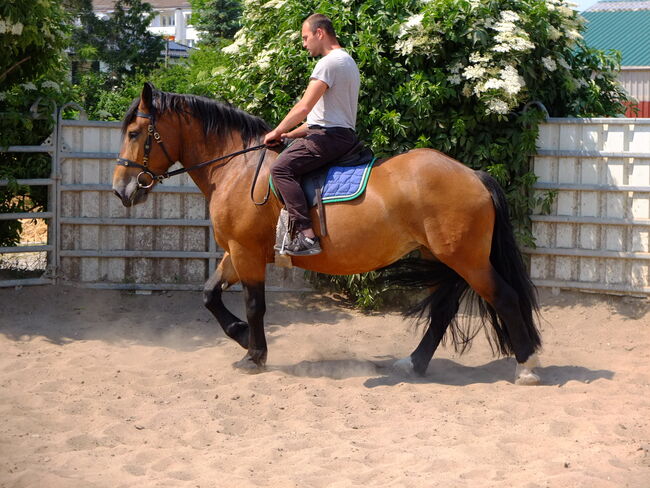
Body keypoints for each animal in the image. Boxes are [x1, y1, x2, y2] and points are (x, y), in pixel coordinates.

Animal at [112, 85, 540, 388]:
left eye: (134, 132)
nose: (120, 190)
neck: (238, 167)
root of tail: (474, 175)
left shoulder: (246, 252)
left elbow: (254, 305)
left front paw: (254, 354)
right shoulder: (235, 252)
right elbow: (209, 294)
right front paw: (241, 337)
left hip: (467, 259)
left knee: (504, 297)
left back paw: (527, 366)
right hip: (443, 257)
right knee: (444, 309)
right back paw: (414, 363)